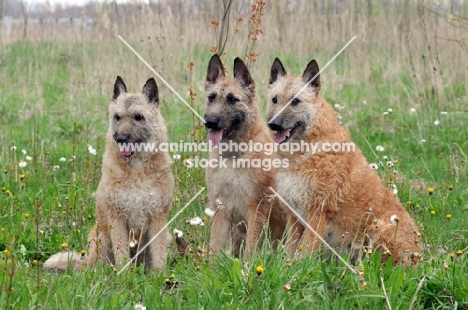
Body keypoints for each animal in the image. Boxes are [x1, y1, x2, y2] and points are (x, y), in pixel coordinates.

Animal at [44, 75, 174, 272]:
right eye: (117, 117)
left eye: (138, 117)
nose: (120, 138)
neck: (137, 170)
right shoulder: (117, 218)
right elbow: (121, 251)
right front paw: (124, 274)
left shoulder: (157, 218)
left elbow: (158, 252)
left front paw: (159, 275)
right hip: (101, 238)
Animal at [266, 58, 422, 264]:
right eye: (275, 99)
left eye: (295, 101)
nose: (273, 124)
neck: (307, 148)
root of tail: (419, 254)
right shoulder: (294, 215)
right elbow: (291, 251)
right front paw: (286, 267)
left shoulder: (317, 213)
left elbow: (304, 252)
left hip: (379, 230)